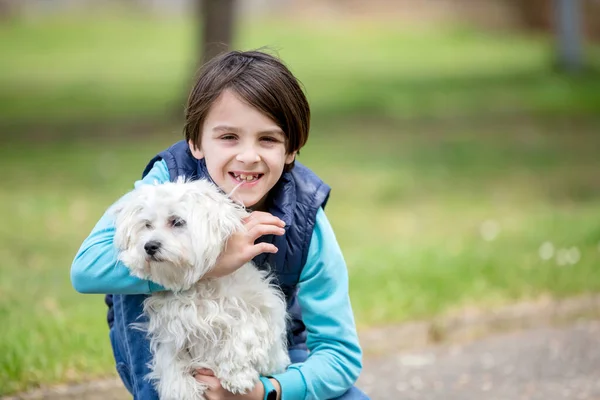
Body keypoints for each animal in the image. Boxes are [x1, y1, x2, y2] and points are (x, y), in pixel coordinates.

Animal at [113, 179, 292, 400]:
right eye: (147, 225)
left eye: (177, 222)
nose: (150, 246)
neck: (198, 287)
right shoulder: (173, 330)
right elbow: (172, 363)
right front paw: (181, 390)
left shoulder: (261, 308)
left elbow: (245, 332)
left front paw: (237, 376)